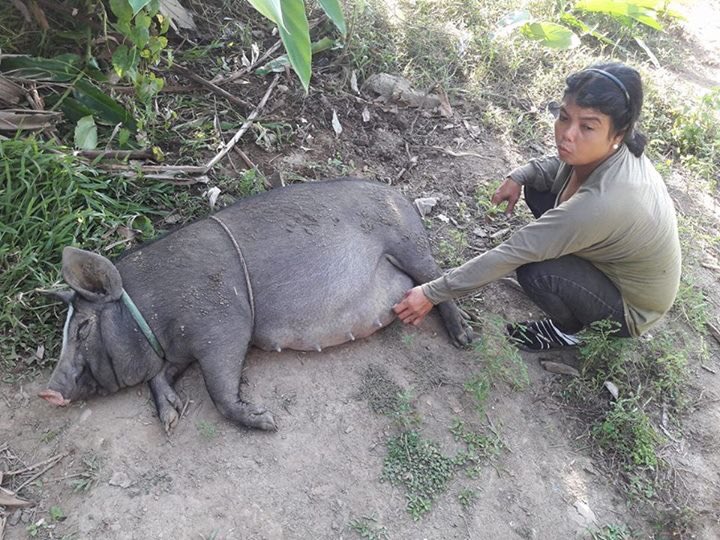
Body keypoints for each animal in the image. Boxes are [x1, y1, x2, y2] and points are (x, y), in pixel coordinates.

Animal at [40, 178, 472, 432]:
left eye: (82, 328)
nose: (48, 392)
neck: (151, 312)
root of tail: (401, 195)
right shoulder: (179, 348)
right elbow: (160, 376)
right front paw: (171, 419)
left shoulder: (224, 325)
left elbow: (219, 390)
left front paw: (269, 422)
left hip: (407, 240)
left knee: (436, 277)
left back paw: (465, 338)